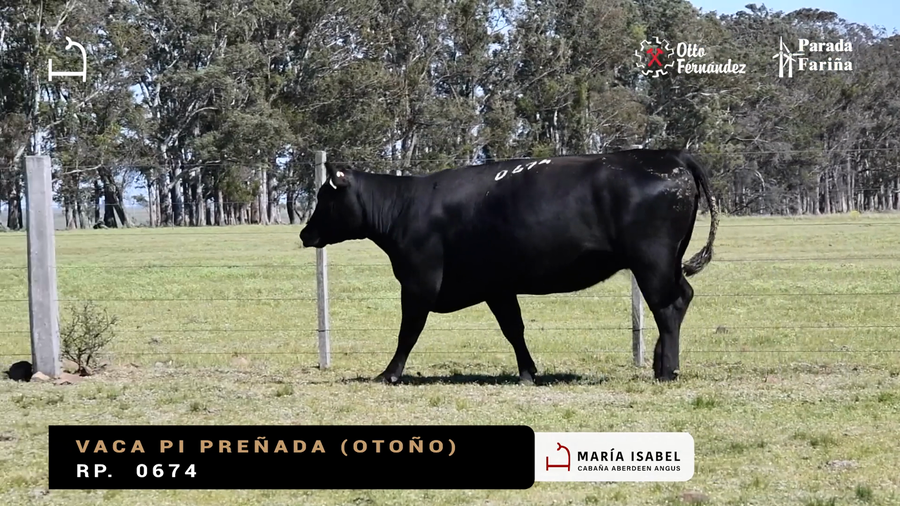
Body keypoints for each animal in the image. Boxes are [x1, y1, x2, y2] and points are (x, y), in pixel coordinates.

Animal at [299, 149, 719, 385]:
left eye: (324, 197)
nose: (304, 232)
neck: (406, 207)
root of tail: (670, 155)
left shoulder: (419, 283)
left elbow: (408, 333)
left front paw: (389, 373)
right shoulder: (497, 286)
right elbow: (513, 329)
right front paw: (528, 372)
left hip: (653, 261)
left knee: (669, 306)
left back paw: (667, 371)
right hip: (664, 262)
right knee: (679, 299)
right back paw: (659, 363)